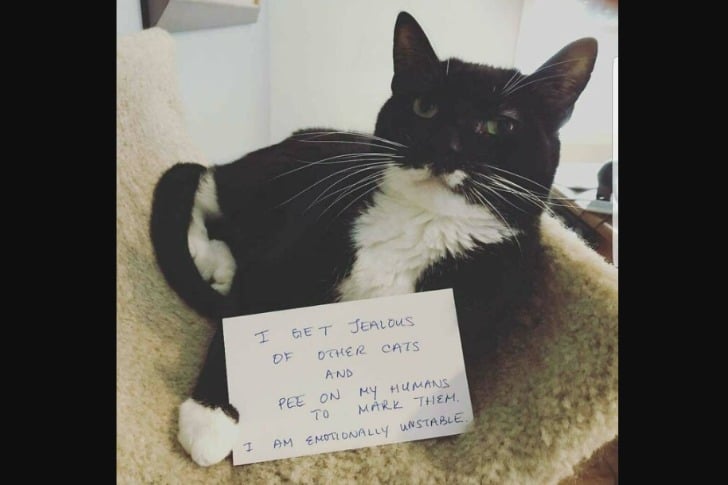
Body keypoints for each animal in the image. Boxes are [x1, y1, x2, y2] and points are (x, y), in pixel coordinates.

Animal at [150, 11, 597, 466]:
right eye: (424, 107)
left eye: (498, 125)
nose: (445, 147)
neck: (420, 224)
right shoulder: (286, 252)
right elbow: (240, 317)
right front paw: (208, 418)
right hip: (271, 179)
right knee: (204, 183)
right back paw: (210, 255)